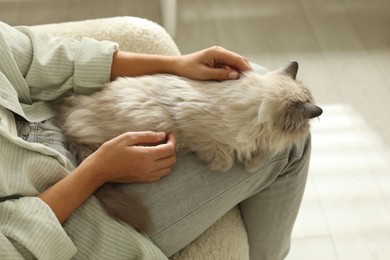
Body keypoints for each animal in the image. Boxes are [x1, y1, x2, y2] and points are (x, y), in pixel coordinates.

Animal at [55, 61, 322, 232]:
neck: (256, 108)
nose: (307, 131)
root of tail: (66, 119)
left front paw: (252, 161)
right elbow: (224, 160)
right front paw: (232, 162)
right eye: (305, 128)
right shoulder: (189, 124)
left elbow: (256, 152)